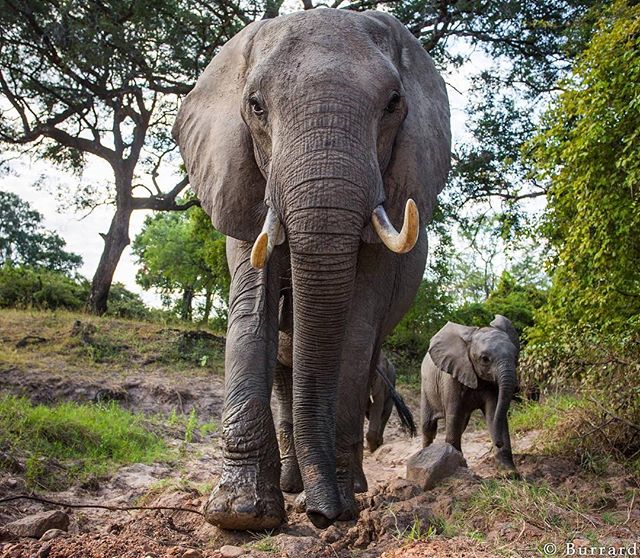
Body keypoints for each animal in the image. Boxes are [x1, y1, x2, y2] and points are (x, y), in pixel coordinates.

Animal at [172, 8, 450, 530]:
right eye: (255, 106)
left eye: (393, 104)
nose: (322, 516)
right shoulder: (243, 185)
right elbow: (250, 310)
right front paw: (241, 515)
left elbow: (355, 329)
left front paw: (338, 507)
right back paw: (290, 485)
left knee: (366, 358)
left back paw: (347, 488)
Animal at [420, 315, 520, 473]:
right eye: (485, 359)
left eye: (516, 356)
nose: (498, 443)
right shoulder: (451, 378)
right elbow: (454, 416)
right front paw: (459, 467)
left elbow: (494, 414)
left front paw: (510, 472)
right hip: (426, 387)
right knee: (428, 426)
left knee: (462, 425)